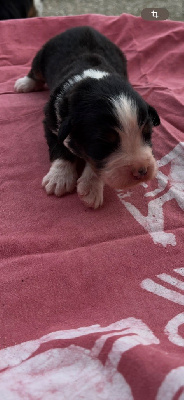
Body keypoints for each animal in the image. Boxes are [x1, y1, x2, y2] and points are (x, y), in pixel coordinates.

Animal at [14, 25, 160, 209]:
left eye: (147, 133)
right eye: (103, 144)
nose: (142, 171)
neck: (93, 79)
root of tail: (83, 26)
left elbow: (93, 165)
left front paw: (91, 187)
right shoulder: (51, 122)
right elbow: (59, 148)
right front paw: (59, 178)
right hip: (42, 54)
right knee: (35, 71)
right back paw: (24, 84)